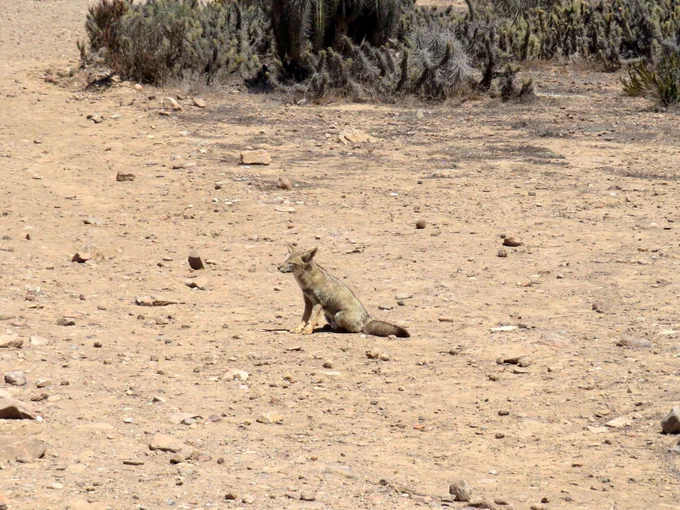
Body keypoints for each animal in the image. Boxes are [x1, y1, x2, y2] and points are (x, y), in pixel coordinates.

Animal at [278, 244, 410, 338]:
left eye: (290, 263)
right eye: (284, 261)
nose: (278, 267)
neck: (307, 282)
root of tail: (367, 317)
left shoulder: (318, 303)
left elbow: (312, 319)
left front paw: (308, 330)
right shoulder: (308, 303)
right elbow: (304, 319)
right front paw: (298, 329)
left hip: (338, 315)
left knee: (358, 330)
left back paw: (338, 330)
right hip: (328, 315)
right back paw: (331, 327)